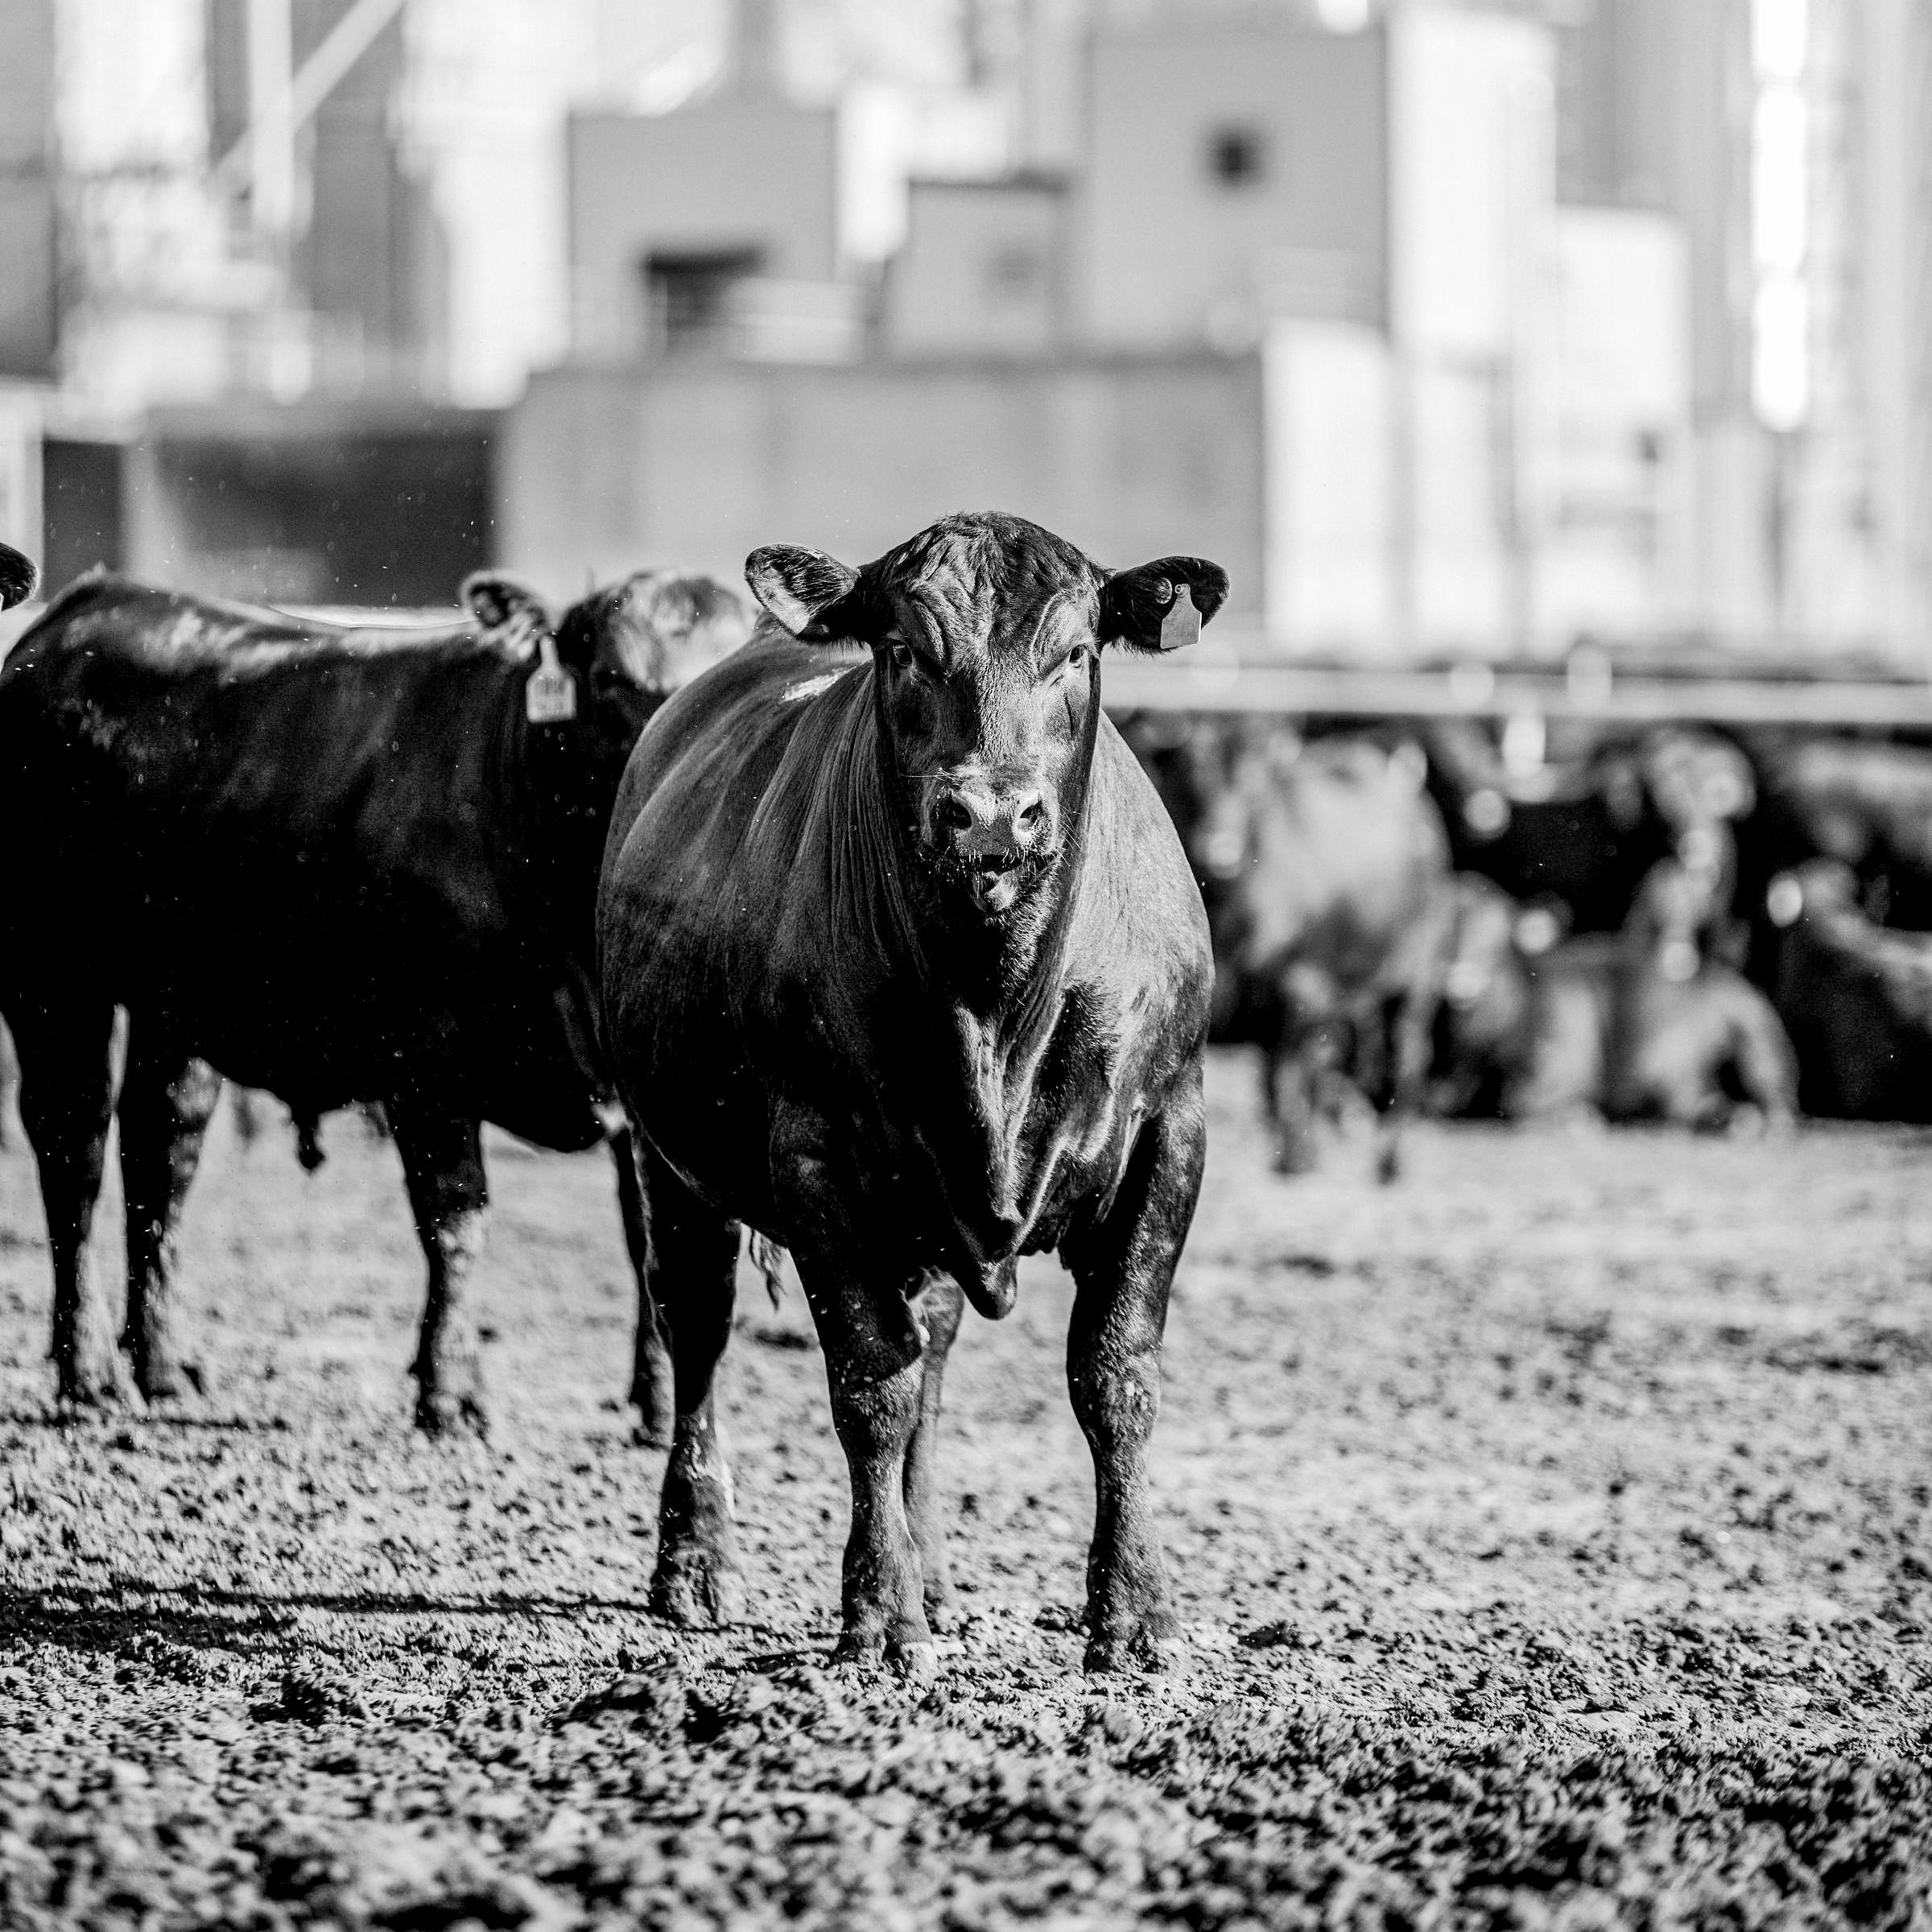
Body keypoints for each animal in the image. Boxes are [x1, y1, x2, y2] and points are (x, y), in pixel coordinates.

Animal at [0, 558, 749, 1433]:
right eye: (608, 679)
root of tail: (95, 600)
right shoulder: (427, 1056)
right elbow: (455, 1217)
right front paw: (449, 1389)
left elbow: (651, 1239)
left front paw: (659, 1401)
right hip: (52, 976)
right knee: (73, 1149)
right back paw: (84, 1373)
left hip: (174, 998)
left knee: (161, 1150)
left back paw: (159, 1367)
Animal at [598, 512, 1225, 1676]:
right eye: (900, 650)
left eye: (1077, 652)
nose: (991, 815)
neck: (992, 1004)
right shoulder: (814, 1161)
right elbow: (869, 1384)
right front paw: (878, 1614)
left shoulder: (1171, 1131)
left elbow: (1114, 1374)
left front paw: (1135, 1614)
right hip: (674, 1165)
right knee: (697, 1331)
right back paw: (695, 1563)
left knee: (933, 1354)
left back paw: (934, 1570)